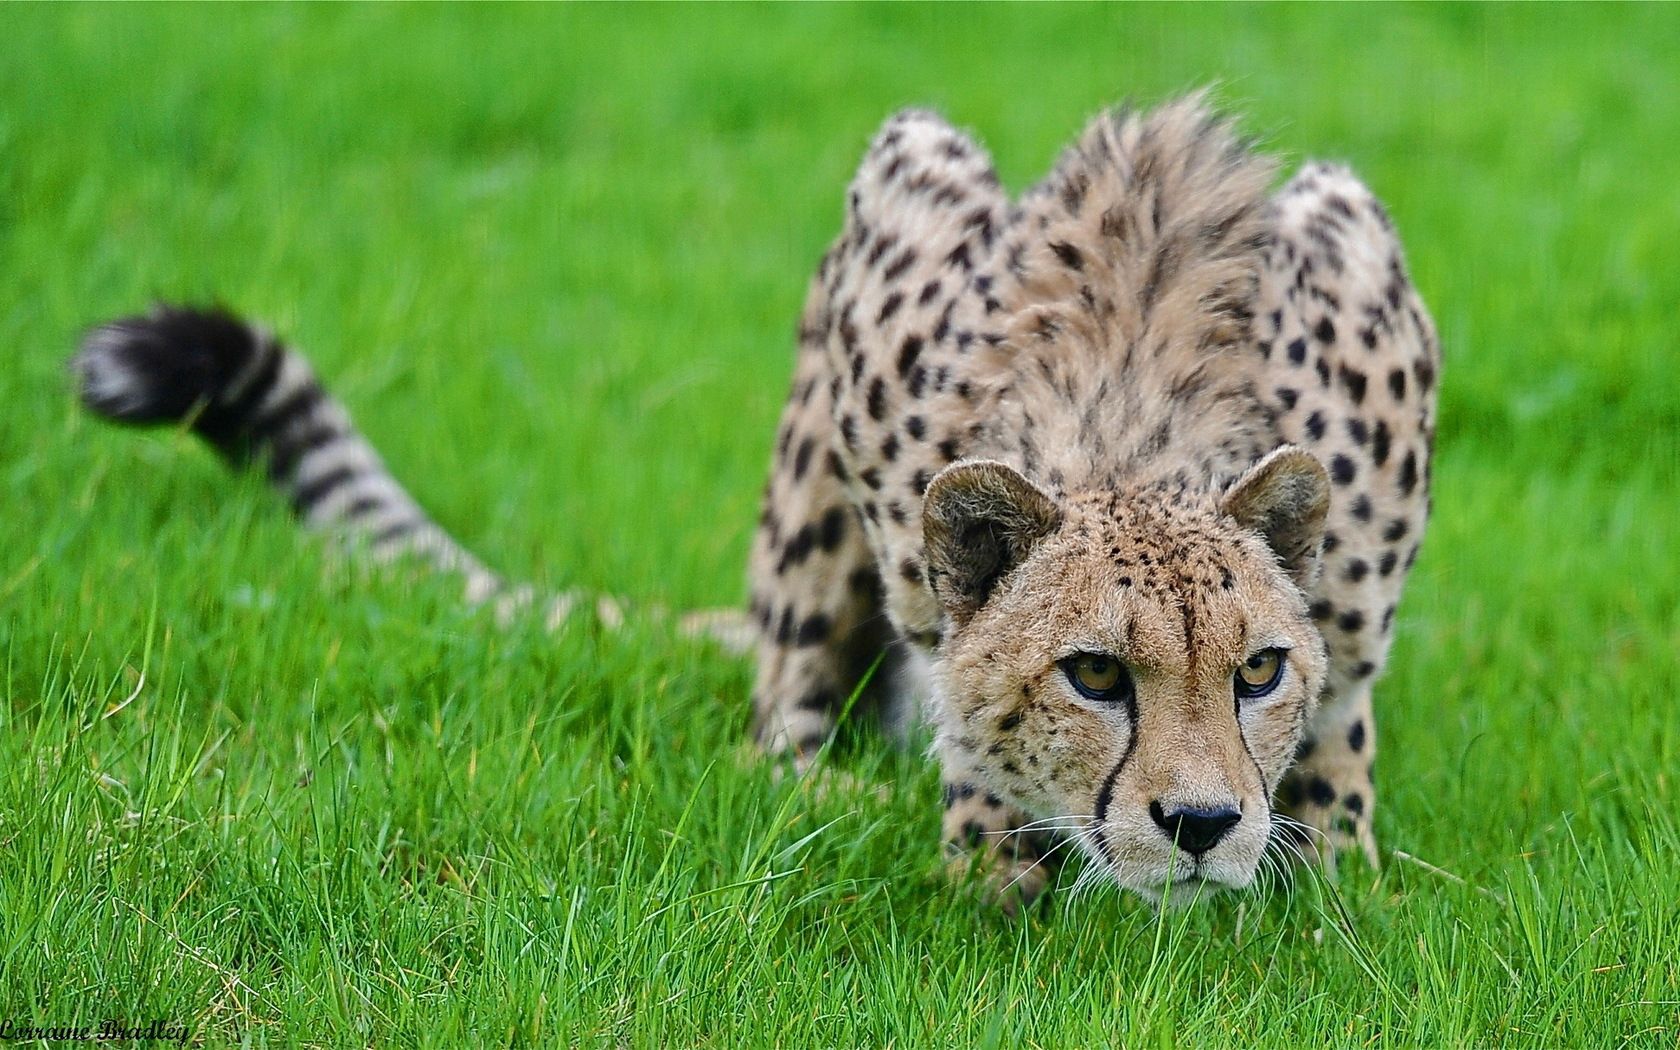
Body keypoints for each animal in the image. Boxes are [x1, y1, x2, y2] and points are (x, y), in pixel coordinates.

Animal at [72, 91, 1438, 907]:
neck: (1137, 434)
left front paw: (1326, 877)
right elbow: (953, 715)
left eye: (1257, 670)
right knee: (776, 727)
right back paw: (852, 788)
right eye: (1096, 674)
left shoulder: (1361, 253)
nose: (1203, 822)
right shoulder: (899, 206)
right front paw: (989, 863)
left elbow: (1343, 742)